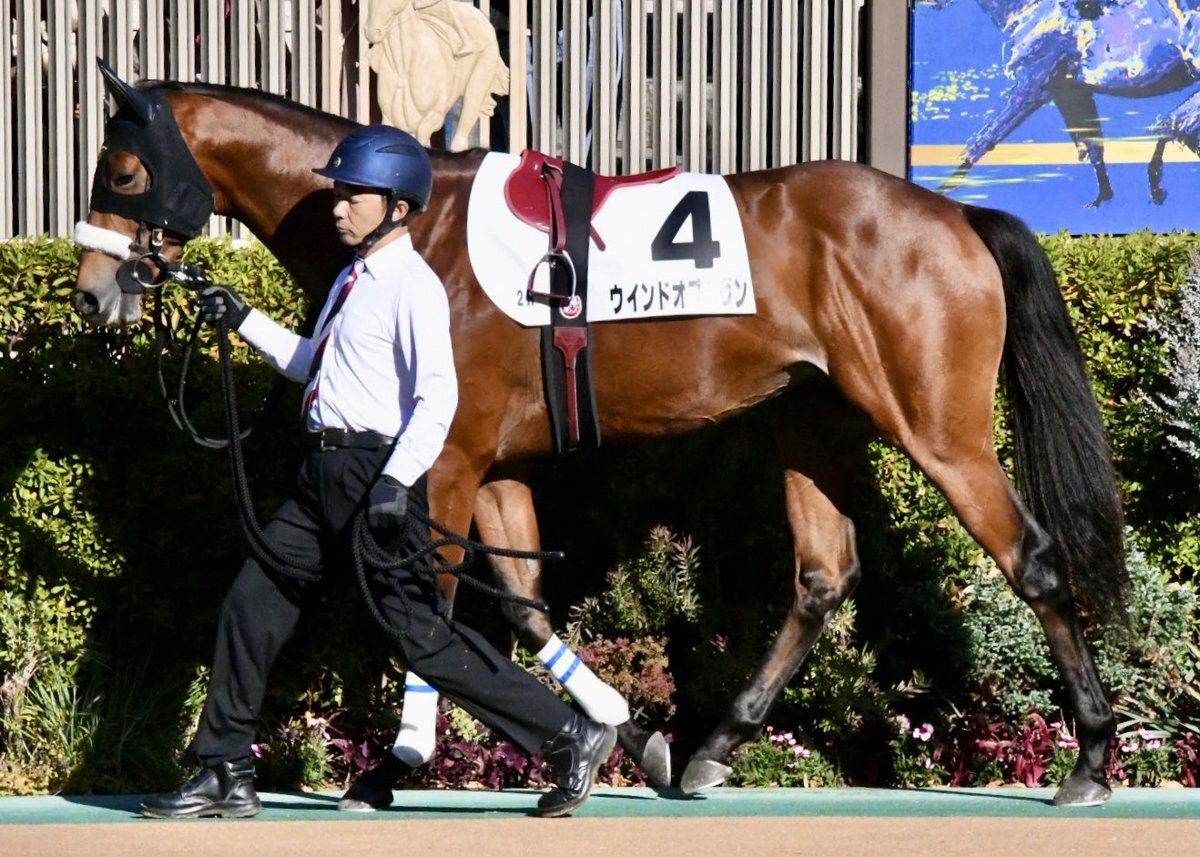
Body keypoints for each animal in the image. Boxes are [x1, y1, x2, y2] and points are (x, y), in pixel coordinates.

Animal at [72, 70, 1129, 806]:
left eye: (122, 170)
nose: (90, 293)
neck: (417, 230)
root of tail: (954, 212)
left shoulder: (446, 458)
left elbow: (439, 609)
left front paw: (395, 765)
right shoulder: (493, 464)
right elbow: (525, 604)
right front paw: (621, 731)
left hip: (940, 429)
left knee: (1032, 561)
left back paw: (1089, 754)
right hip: (810, 420)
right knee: (822, 576)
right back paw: (711, 749)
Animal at [924, 0, 1200, 206]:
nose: (931, 3)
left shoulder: (1032, 85)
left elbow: (985, 139)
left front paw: (943, 190)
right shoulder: (1069, 92)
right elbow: (1091, 142)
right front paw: (1102, 197)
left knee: (1178, 120)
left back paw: (1156, 180)